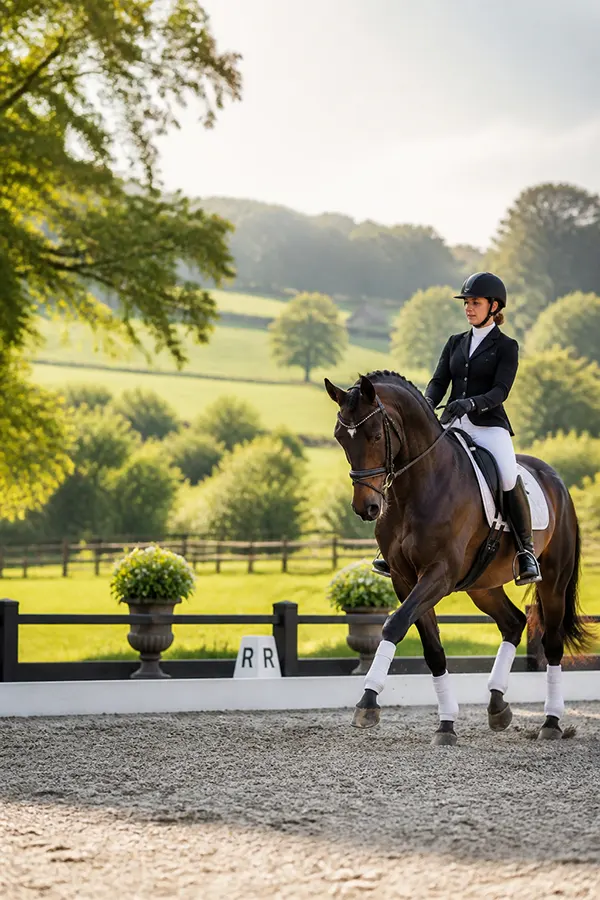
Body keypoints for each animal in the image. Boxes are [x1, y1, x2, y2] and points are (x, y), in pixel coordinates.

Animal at [324, 370, 592, 745]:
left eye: (376, 435)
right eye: (340, 439)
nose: (367, 508)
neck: (418, 486)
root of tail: (555, 479)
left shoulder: (439, 574)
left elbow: (393, 624)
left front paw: (368, 701)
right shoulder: (405, 580)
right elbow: (432, 649)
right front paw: (446, 723)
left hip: (553, 580)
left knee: (552, 644)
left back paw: (551, 722)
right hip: (482, 585)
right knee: (513, 623)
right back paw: (497, 705)